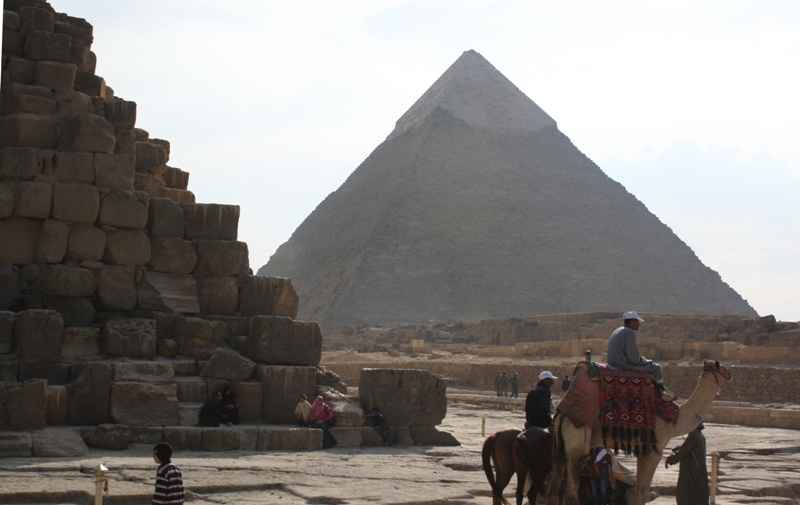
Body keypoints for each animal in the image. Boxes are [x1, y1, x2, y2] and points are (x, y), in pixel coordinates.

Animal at [548, 358, 728, 504]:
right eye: (721, 367)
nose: (730, 373)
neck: (675, 417)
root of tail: (562, 413)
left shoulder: (643, 449)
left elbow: (638, 491)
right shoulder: (654, 449)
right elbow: (642, 491)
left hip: (561, 446)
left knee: (553, 486)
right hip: (577, 438)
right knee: (570, 492)